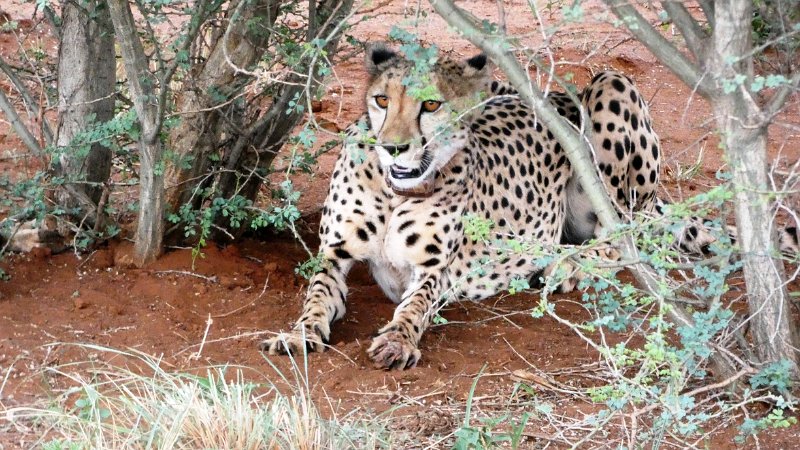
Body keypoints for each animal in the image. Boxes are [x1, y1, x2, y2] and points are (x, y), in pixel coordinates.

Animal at [260, 44, 800, 370]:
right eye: (380, 100)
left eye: (431, 105)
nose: (394, 148)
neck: (396, 191)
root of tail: (551, 94)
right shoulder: (334, 254)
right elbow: (316, 297)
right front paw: (298, 334)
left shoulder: (433, 271)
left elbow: (414, 306)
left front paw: (397, 340)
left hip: (610, 91)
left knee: (627, 234)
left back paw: (567, 265)